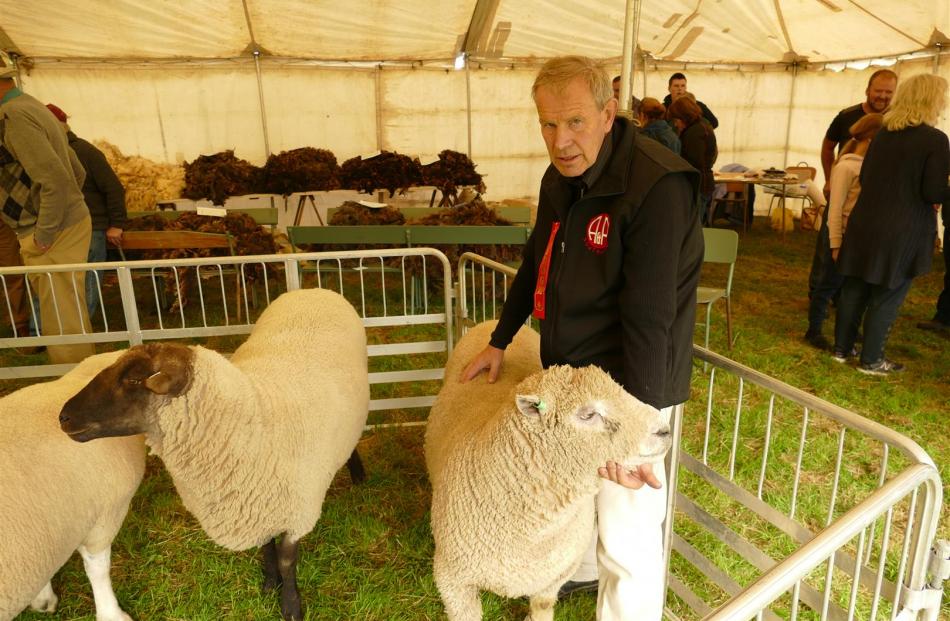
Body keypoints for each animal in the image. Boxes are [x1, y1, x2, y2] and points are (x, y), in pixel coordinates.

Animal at [58, 290, 372, 620]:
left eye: (132, 380)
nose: (63, 417)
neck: (258, 417)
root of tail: (312, 291)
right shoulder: (256, 505)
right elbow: (267, 548)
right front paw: (269, 584)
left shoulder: (297, 511)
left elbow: (287, 561)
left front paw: (290, 605)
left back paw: (358, 473)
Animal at [428, 320, 672, 620]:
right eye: (588, 414)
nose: (664, 430)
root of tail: (489, 321)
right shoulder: (452, 581)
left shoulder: (556, 574)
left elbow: (543, 606)